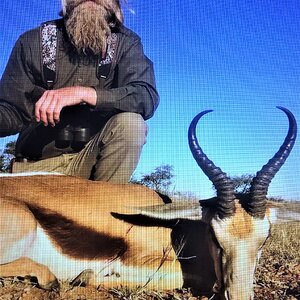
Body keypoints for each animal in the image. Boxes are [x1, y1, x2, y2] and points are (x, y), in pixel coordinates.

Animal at [0, 106, 296, 298]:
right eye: (215, 236)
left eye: (265, 239)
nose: (239, 295)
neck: (175, 230)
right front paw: (88, 277)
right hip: (24, 221)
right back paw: (50, 280)